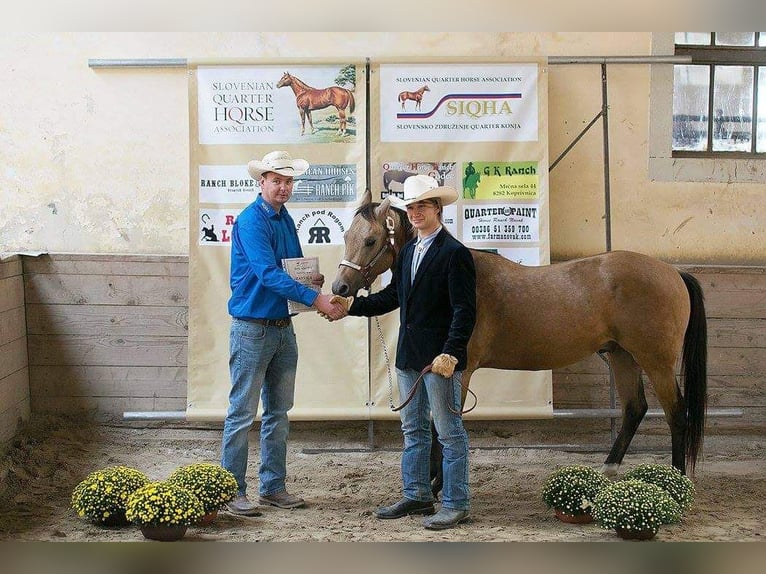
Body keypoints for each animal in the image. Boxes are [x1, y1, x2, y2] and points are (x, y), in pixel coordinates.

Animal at [330, 192, 708, 496]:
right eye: (347, 235)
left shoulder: (456, 369)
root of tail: (672, 272)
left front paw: (437, 485)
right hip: (621, 355)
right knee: (635, 408)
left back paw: (676, 484)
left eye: (370, 240)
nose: (339, 288)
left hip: (655, 361)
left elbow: (444, 425)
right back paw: (609, 469)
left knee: (677, 414)